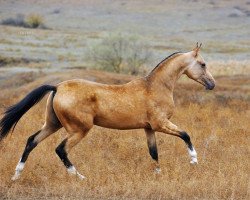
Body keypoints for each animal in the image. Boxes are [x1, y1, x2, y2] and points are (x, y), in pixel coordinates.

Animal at [0, 43, 215, 180]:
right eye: (203, 64)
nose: (212, 84)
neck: (155, 87)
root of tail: (57, 87)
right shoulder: (160, 124)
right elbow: (186, 134)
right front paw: (194, 161)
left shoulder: (149, 129)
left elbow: (153, 152)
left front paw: (158, 175)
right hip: (79, 130)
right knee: (61, 149)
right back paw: (79, 177)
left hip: (53, 124)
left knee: (31, 141)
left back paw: (16, 176)